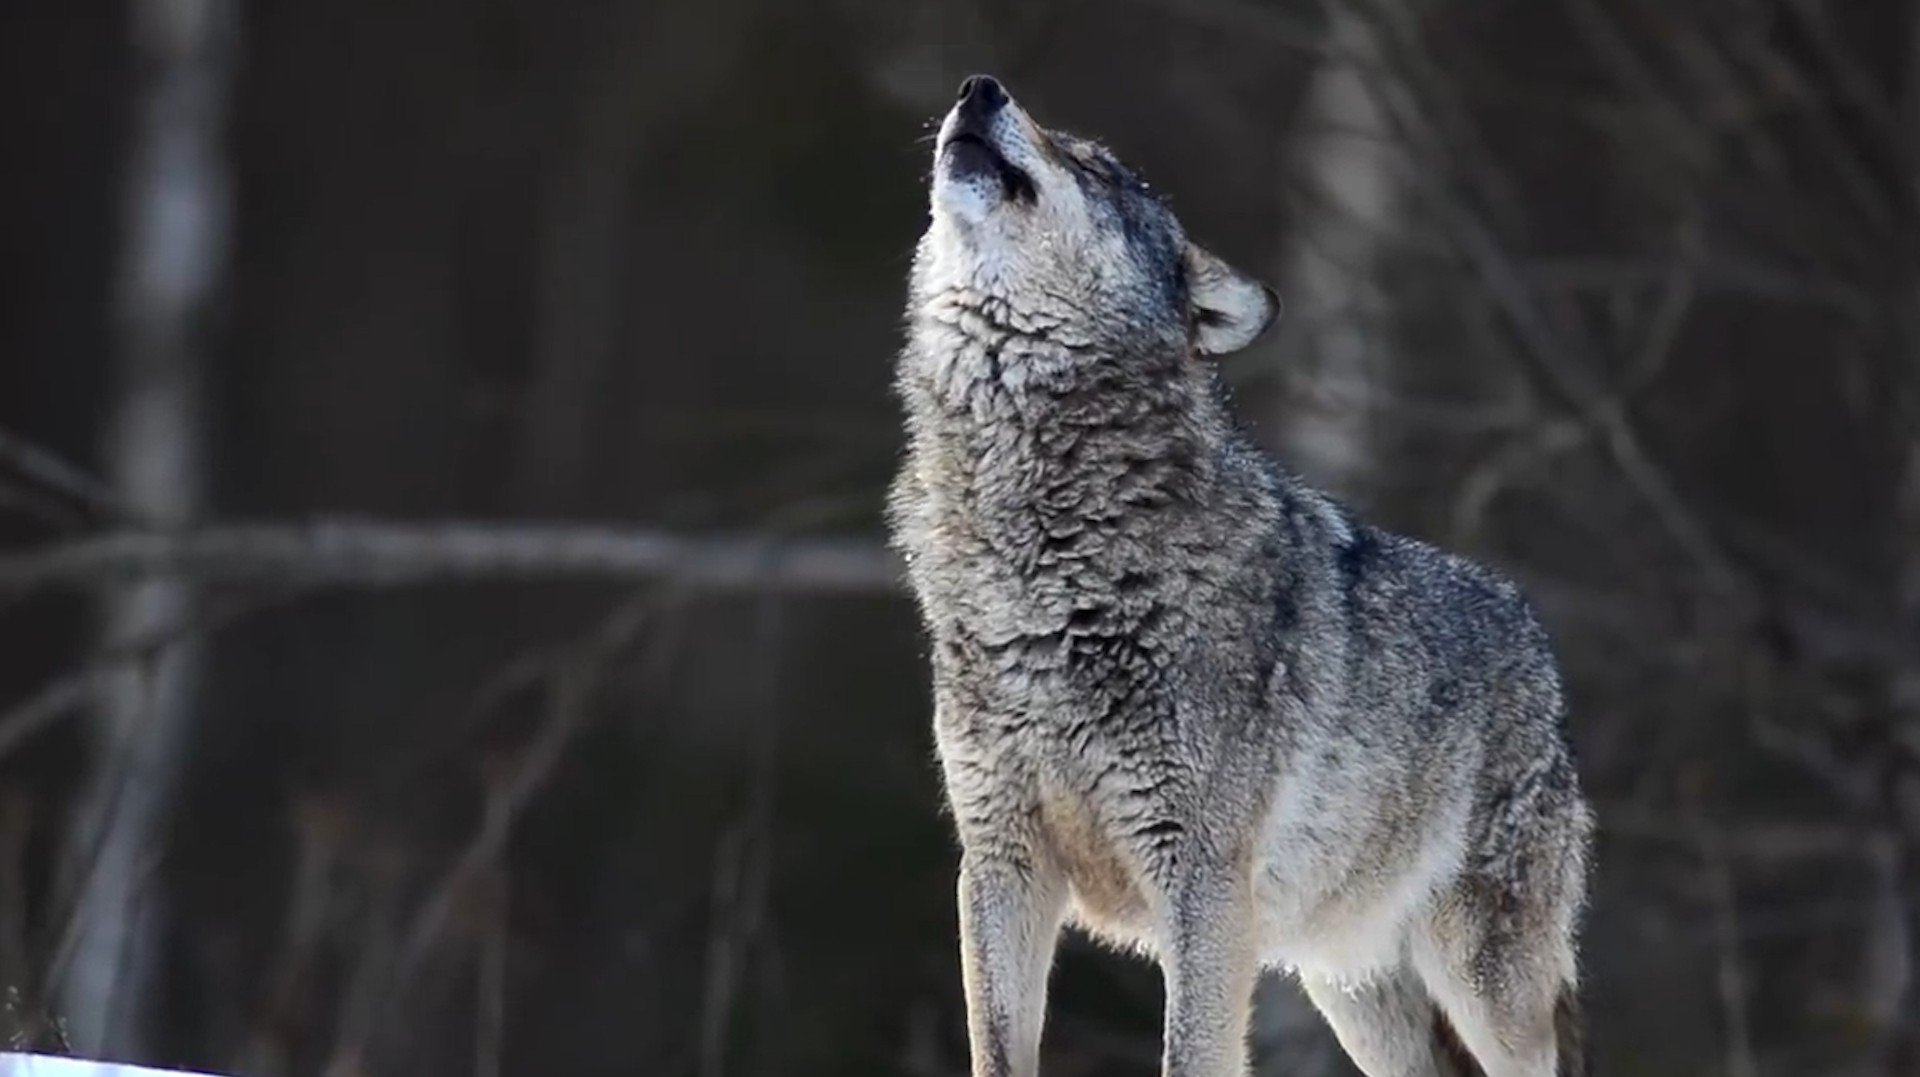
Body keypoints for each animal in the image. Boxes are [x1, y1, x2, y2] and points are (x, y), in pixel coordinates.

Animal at [883, 75, 1589, 1075]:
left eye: (1095, 166)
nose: (979, 89)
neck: (1042, 566)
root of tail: (1536, 643)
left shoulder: (1203, 881)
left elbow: (1191, 1052)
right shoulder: (998, 864)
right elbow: (996, 1051)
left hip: (1487, 985)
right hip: (1355, 990)